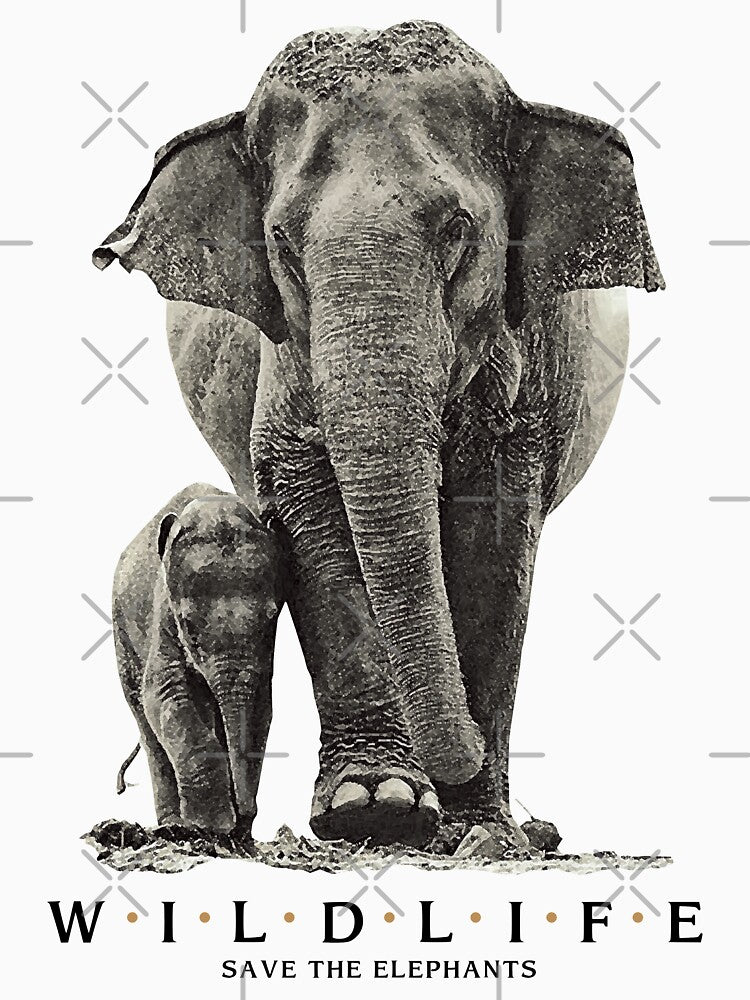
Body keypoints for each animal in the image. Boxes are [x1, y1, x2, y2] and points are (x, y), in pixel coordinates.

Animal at [95, 21, 663, 854]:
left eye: (459, 232)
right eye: (280, 243)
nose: (462, 757)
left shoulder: (534, 356)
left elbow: (495, 532)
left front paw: (473, 828)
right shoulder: (283, 356)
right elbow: (311, 508)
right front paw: (377, 807)